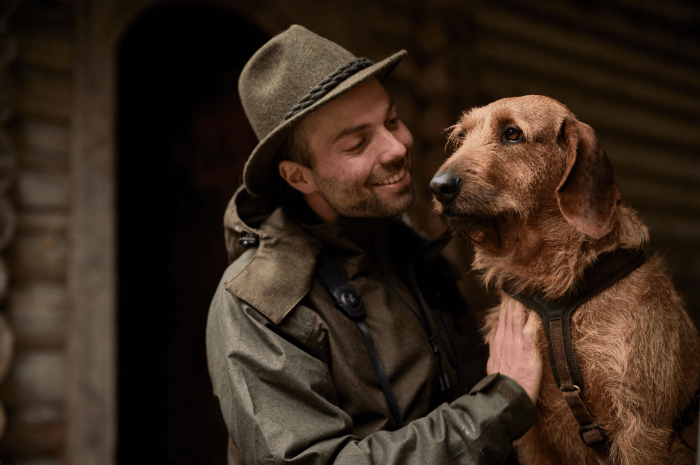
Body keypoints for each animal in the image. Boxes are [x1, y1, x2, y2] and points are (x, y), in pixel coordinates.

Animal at [432, 95, 700, 464]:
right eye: (461, 137)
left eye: (512, 133)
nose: (439, 186)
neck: (552, 290)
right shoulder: (532, 435)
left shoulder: (643, 428)